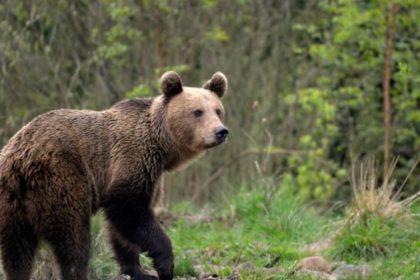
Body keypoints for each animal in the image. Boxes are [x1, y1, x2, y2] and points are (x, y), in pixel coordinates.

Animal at [0, 71, 230, 280]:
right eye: (197, 112)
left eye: (218, 110)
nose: (221, 131)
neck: (162, 146)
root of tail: (20, 160)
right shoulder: (133, 160)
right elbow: (128, 208)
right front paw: (164, 265)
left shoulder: (151, 175)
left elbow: (122, 228)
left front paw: (139, 271)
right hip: (61, 179)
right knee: (74, 238)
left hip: (12, 205)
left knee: (17, 252)